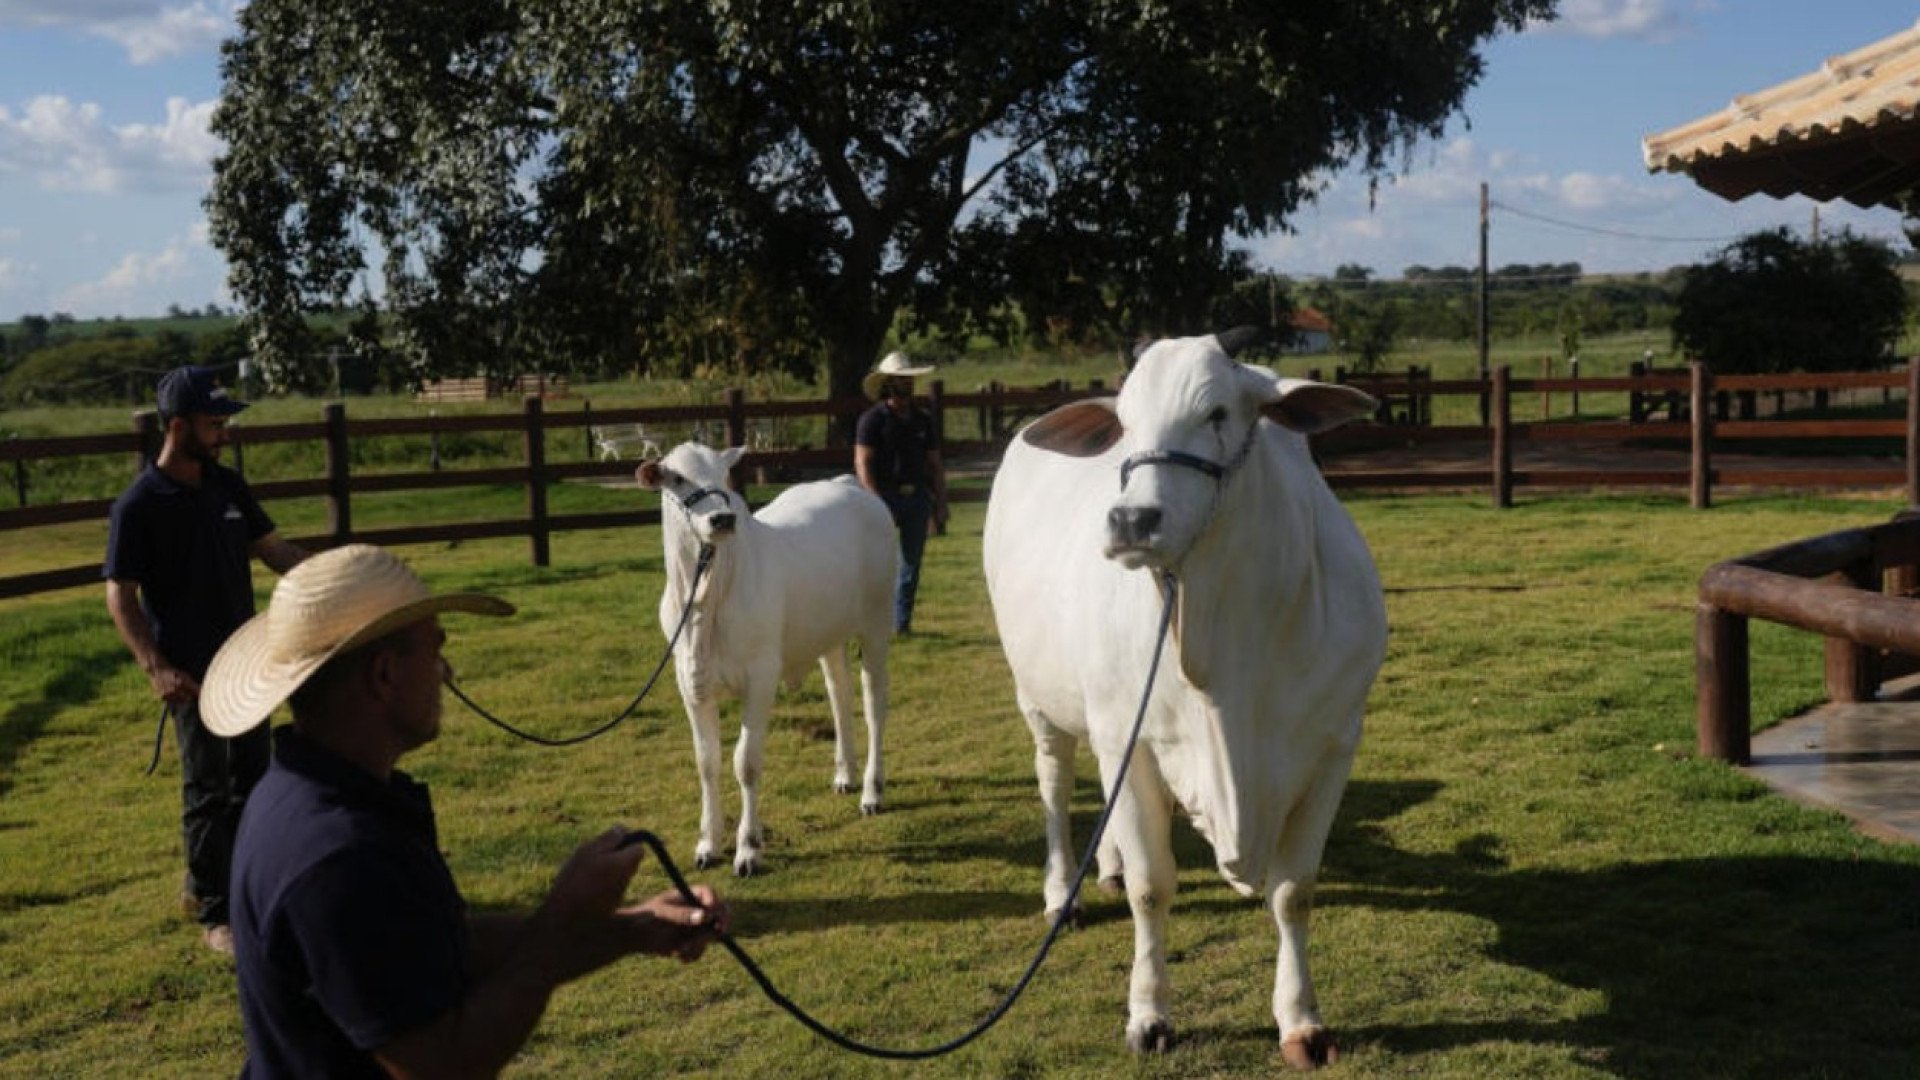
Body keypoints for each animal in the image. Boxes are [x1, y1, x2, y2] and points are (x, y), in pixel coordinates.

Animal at [633, 443, 894, 876]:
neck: (706, 599)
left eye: (724, 476)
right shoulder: (689, 681)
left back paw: (872, 792)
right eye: (677, 479)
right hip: (828, 634)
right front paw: (708, 843)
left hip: (876, 623)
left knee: (874, 705)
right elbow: (707, 761)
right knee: (840, 696)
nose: (721, 518)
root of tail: (847, 484)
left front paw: (749, 848)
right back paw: (845, 773)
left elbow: (746, 762)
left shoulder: (761, 676)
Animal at [983, 326, 1390, 1060]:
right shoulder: (1133, 738)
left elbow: (1293, 892)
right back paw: (1063, 892)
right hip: (1041, 700)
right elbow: (1153, 889)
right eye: (1124, 423)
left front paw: (1301, 1020)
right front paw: (1149, 1015)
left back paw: (1106, 865)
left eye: (1218, 413)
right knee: (1054, 784)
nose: (1131, 521)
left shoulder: (1333, 746)